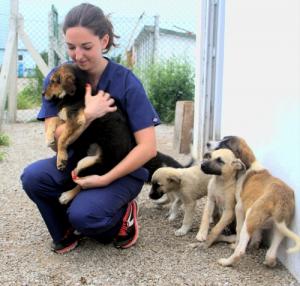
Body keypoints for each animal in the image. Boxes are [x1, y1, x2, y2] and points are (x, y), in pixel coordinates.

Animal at [209, 136, 300, 266]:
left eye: (225, 144)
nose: (207, 143)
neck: (248, 166)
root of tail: (280, 198)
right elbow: (258, 232)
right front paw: (255, 244)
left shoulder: (239, 207)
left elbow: (238, 229)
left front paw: (235, 244)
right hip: (280, 226)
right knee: (271, 254)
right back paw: (268, 261)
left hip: (250, 218)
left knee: (240, 250)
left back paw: (227, 261)